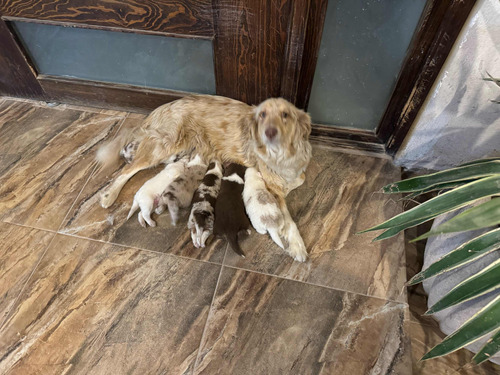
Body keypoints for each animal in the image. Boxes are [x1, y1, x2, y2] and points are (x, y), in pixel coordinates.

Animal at [95, 94, 310, 262]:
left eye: (285, 115)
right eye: (262, 115)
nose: (269, 132)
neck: (282, 154)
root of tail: (162, 107)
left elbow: (300, 178)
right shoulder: (271, 183)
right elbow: (288, 218)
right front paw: (298, 245)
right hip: (165, 145)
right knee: (127, 170)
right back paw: (108, 195)